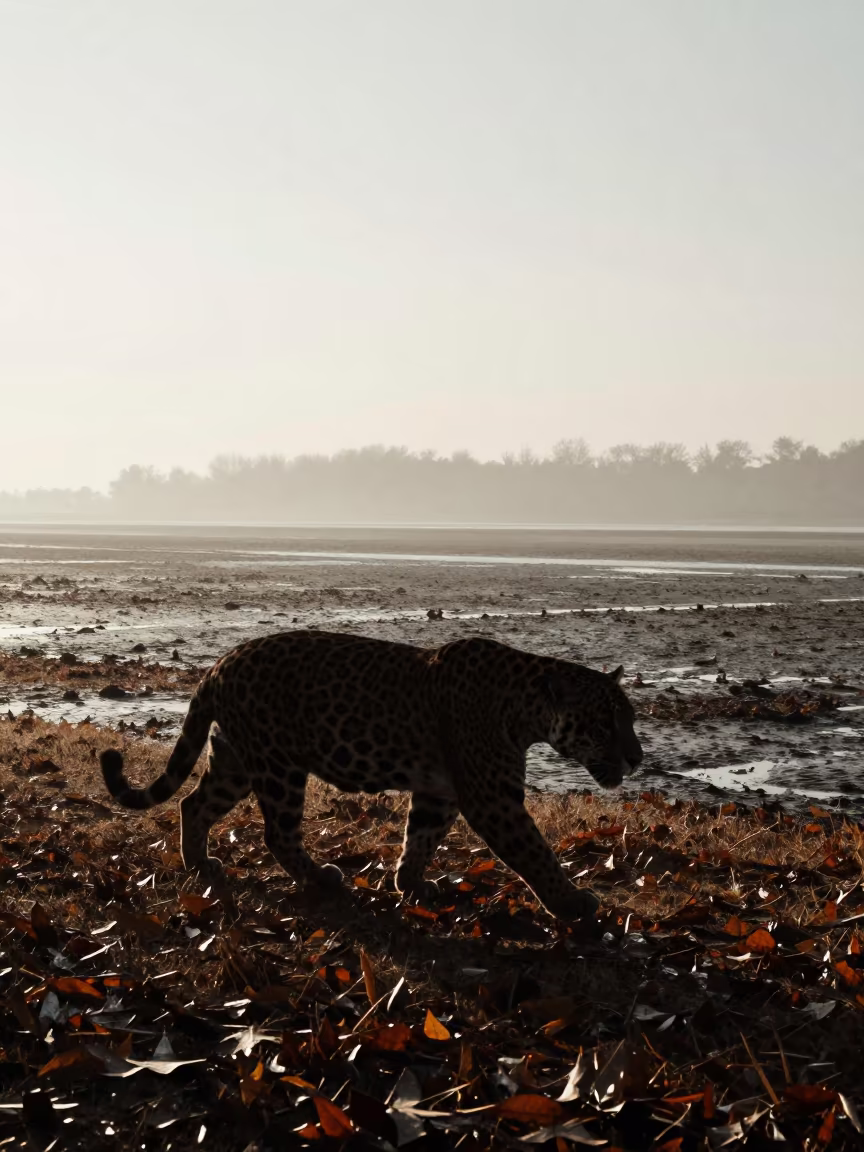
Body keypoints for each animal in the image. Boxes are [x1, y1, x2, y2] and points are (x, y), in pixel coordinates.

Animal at [100, 630, 643, 920]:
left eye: (631, 719)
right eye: (605, 724)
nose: (637, 759)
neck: (525, 707)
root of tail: (219, 663)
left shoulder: (439, 792)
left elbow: (420, 837)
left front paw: (410, 884)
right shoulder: (493, 798)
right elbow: (535, 852)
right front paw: (571, 901)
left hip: (235, 757)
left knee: (193, 802)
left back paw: (199, 863)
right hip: (279, 765)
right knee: (277, 833)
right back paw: (321, 877)